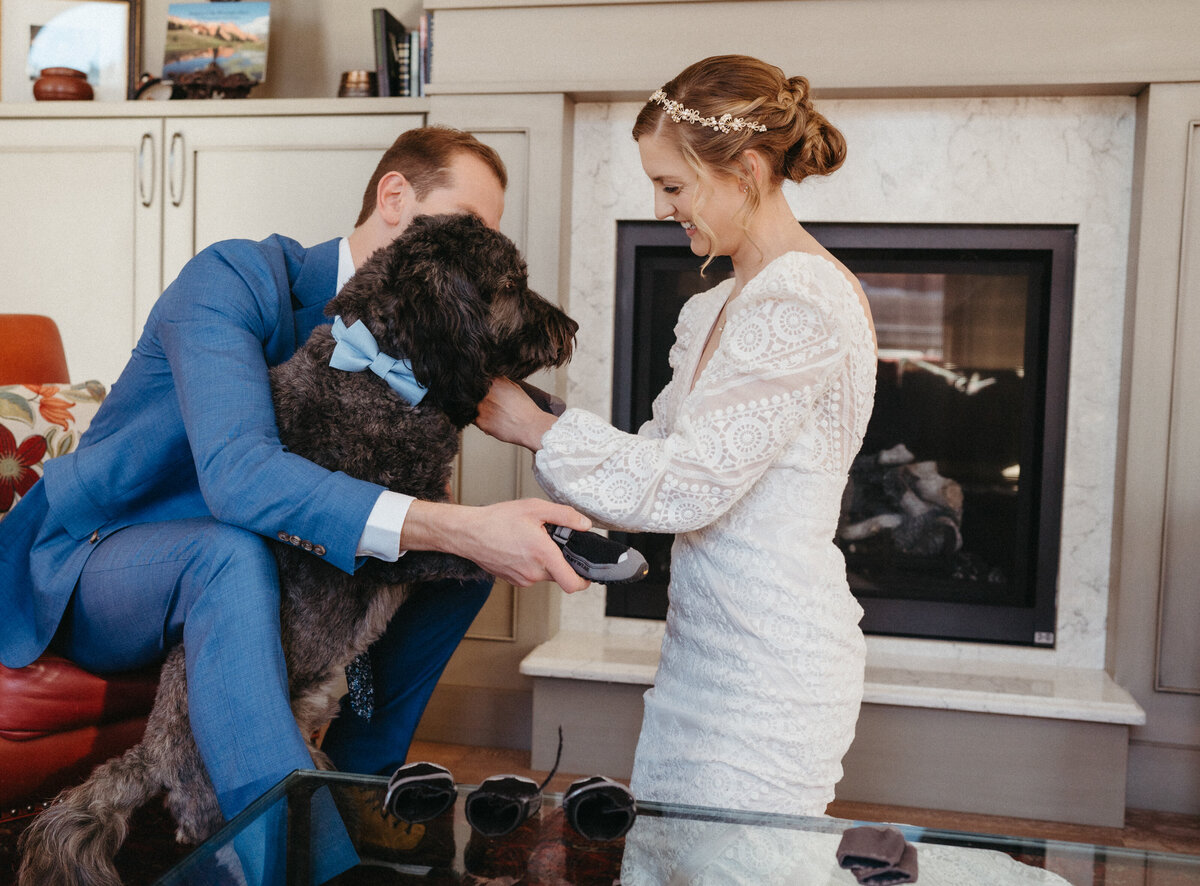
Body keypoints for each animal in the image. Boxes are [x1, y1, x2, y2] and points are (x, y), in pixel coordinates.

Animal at [18, 213, 576, 883]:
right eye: (512, 285)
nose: (572, 329)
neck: (378, 368)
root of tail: (150, 750)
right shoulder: (404, 541)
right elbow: (461, 536)